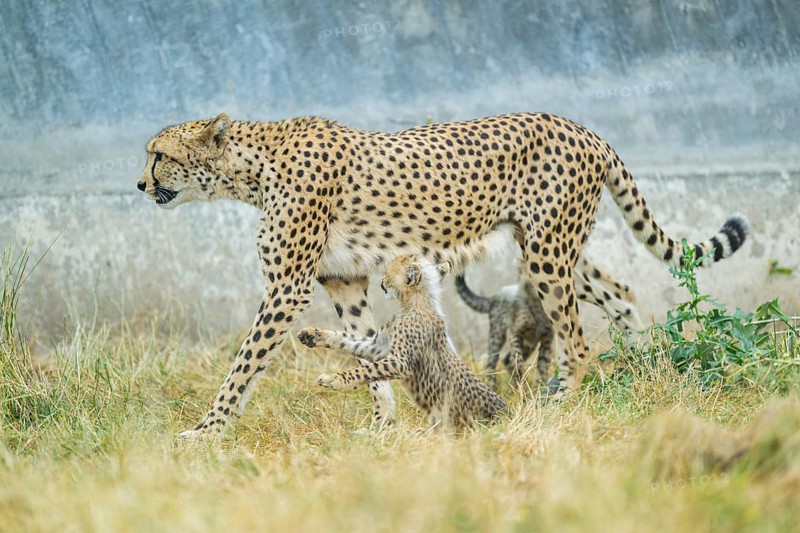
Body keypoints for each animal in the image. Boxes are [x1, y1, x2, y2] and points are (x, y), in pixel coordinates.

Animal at [297, 254, 506, 432]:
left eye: (388, 271)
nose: (381, 280)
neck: (418, 303)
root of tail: (507, 411)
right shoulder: (379, 345)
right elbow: (349, 341)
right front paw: (313, 335)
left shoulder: (400, 362)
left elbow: (367, 369)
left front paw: (335, 380)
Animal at [456, 255, 641, 389]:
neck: (538, 307)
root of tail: (494, 296)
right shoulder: (516, 332)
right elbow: (517, 357)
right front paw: (523, 374)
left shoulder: (546, 339)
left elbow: (543, 366)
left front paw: (539, 386)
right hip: (498, 335)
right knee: (493, 361)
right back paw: (495, 385)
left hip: (530, 343)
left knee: (507, 359)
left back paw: (518, 385)